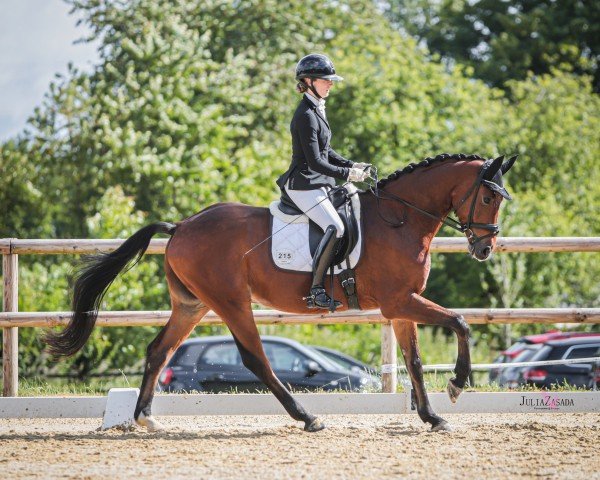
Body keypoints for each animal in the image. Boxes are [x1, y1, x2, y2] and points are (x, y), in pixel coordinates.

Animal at [45, 153, 516, 432]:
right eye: (488, 197)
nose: (484, 248)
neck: (400, 219)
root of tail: (181, 226)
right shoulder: (399, 301)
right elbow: (460, 322)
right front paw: (456, 385)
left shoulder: (401, 308)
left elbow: (415, 361)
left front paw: (432, 416)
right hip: (231, 303)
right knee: (257, 358)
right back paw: (306, 417)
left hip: (192, 305)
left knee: (159, 350)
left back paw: (145, 418)